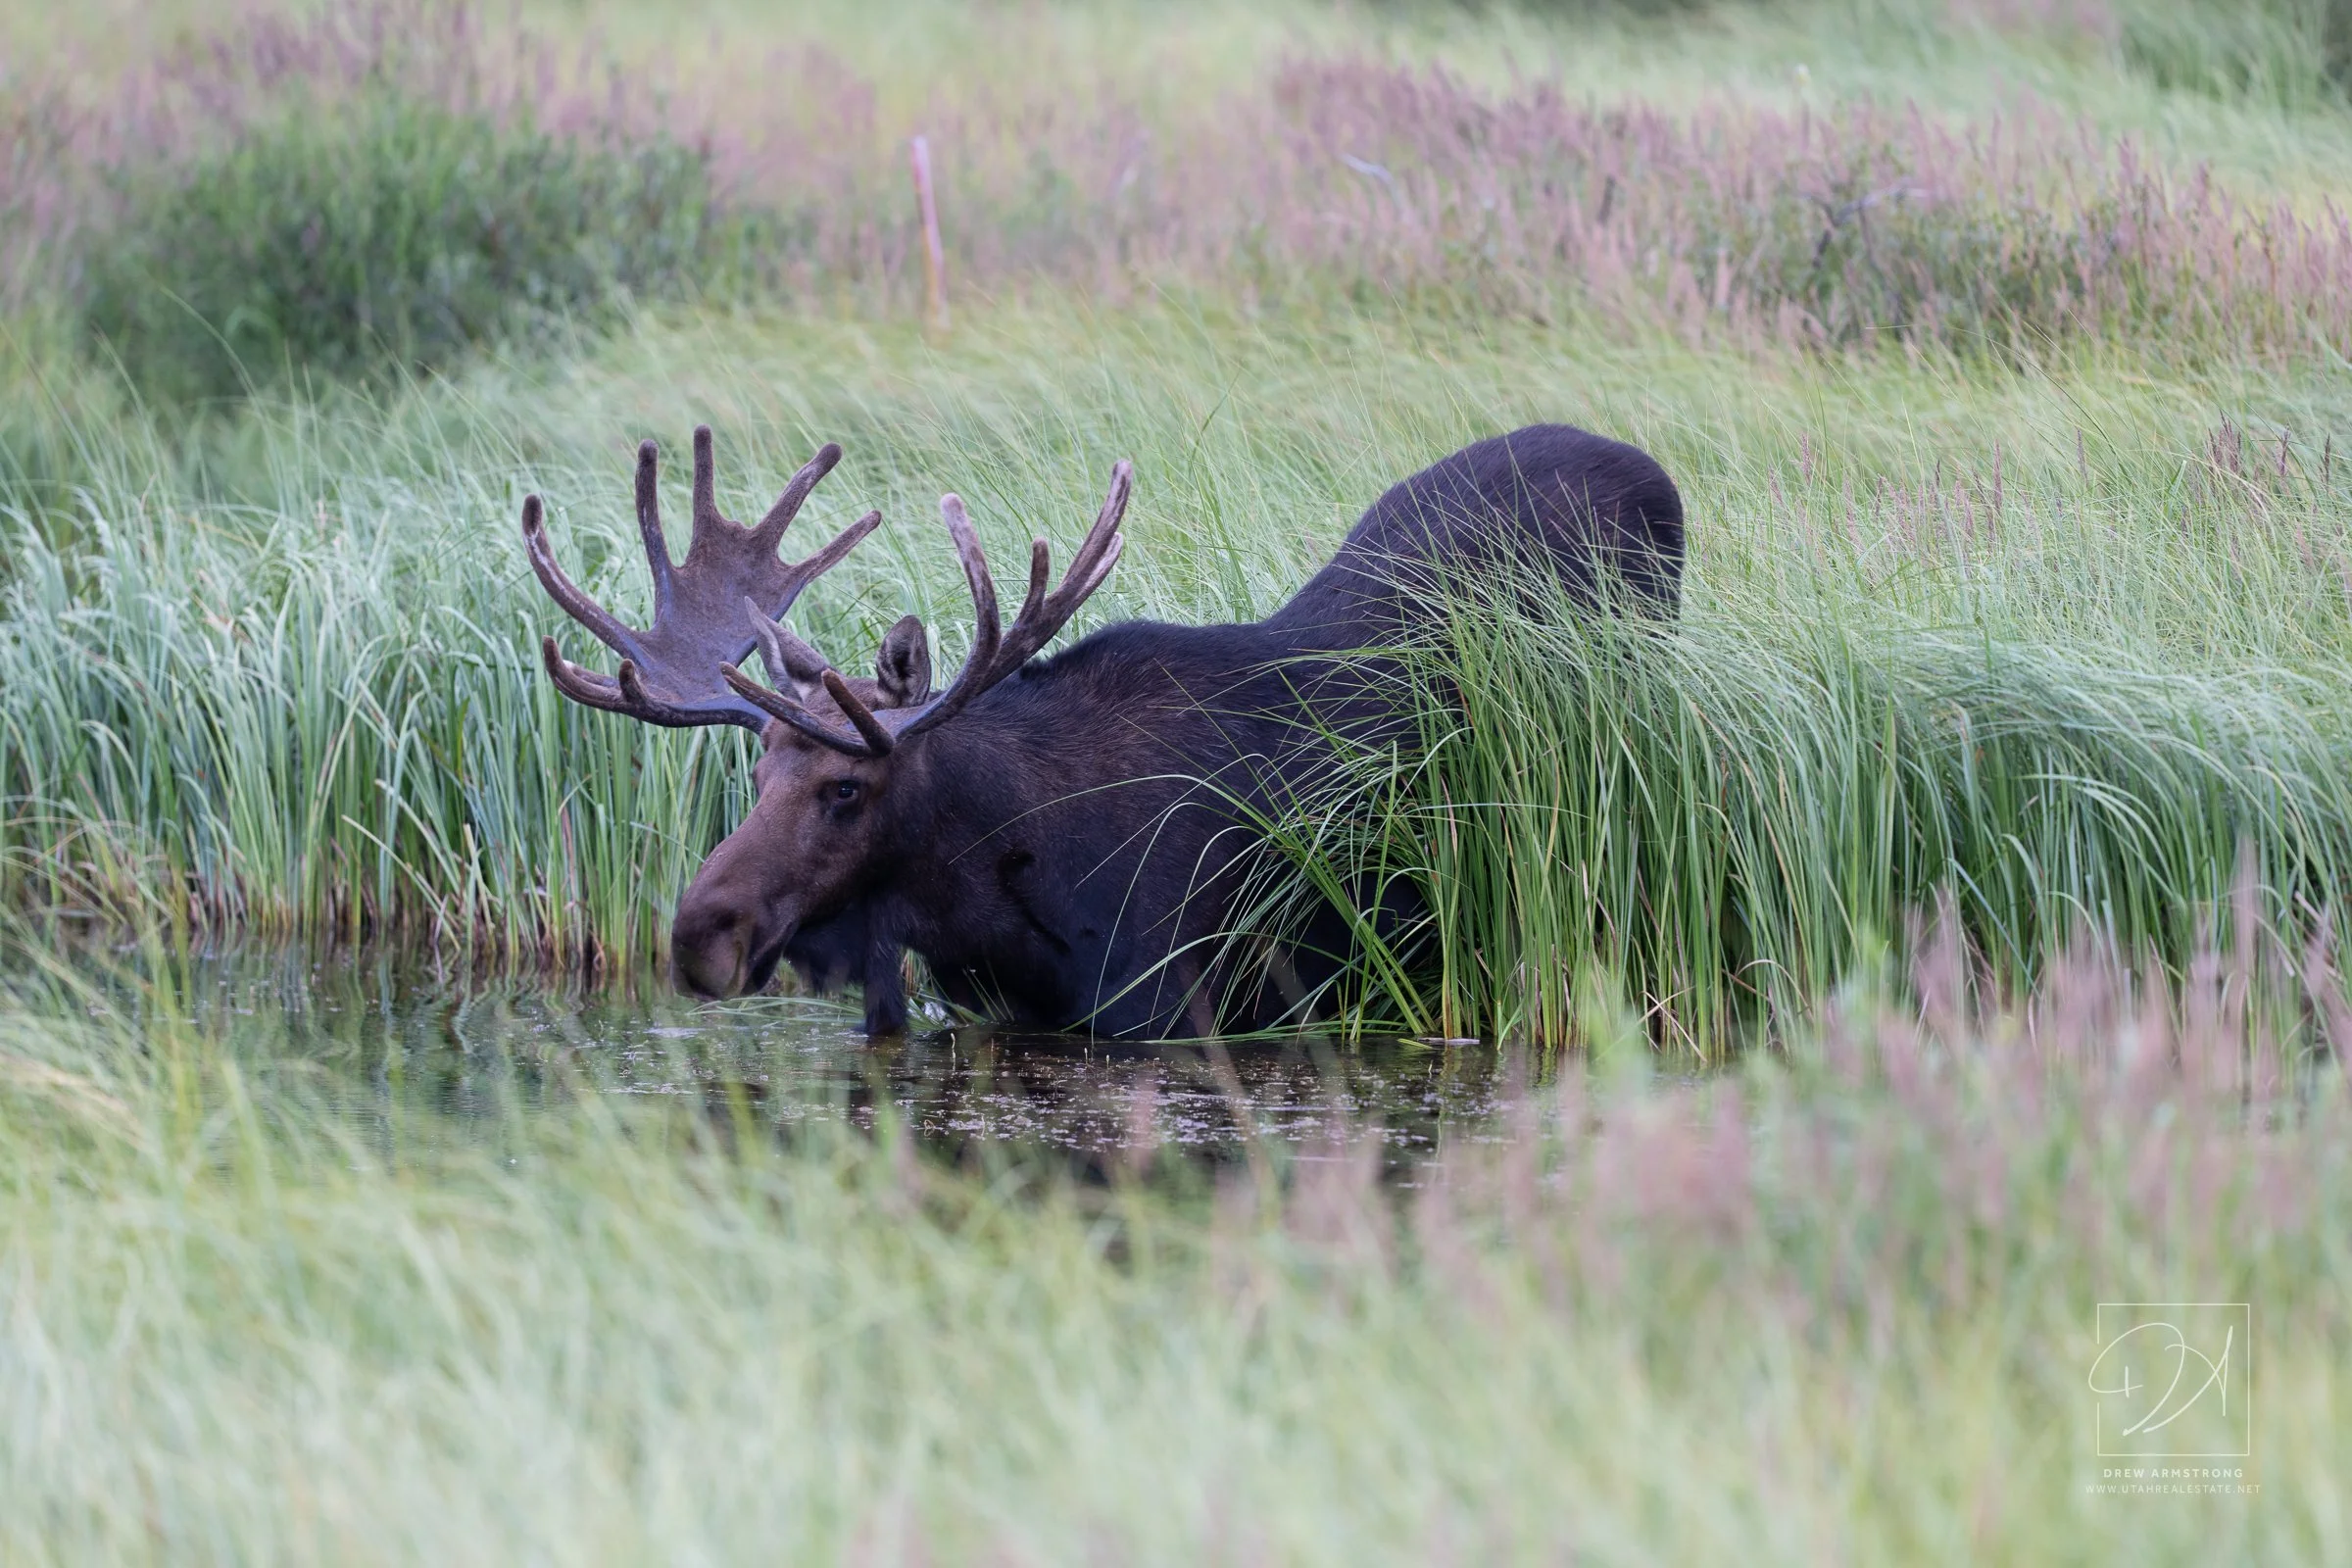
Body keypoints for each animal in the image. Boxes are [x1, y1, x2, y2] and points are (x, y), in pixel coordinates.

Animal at [522, 422, 1684, 1038]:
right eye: (756, 772)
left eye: (846, 788)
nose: (696, 933)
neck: (996, 907)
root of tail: (1654, 470)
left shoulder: (1175, 1013)